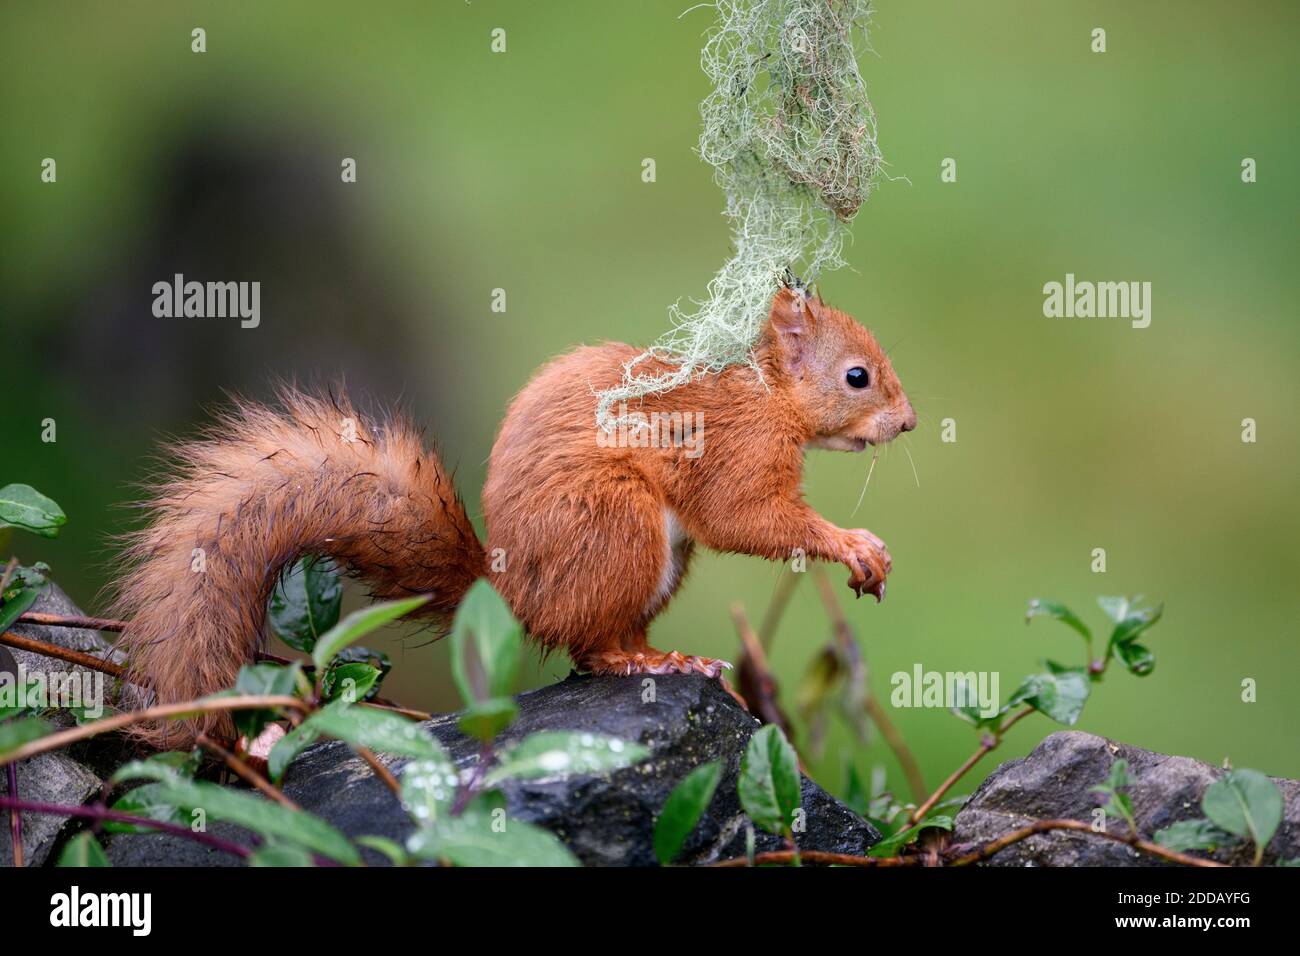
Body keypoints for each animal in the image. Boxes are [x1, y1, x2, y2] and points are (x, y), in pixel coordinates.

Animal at [119, 283, 915, 749]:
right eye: (857, 376)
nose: (909, 423)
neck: (767, 398)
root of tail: (509, 593)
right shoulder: (735, 454)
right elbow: (745, 518)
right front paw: (853, 544)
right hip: (618, 527)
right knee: (593, 647)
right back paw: (651, 662)